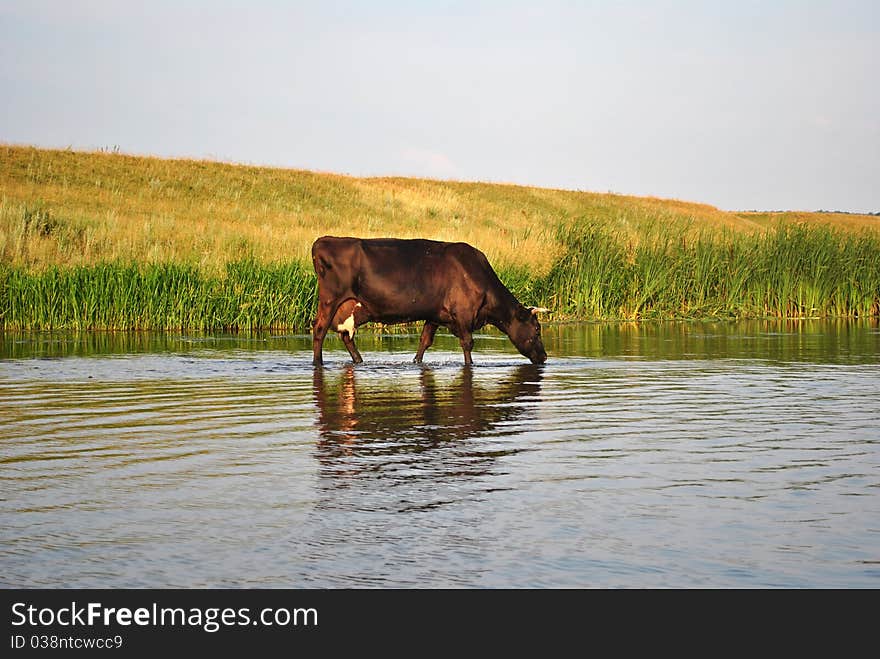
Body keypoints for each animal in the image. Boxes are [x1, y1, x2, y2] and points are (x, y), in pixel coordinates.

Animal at [308, 237, 544, 366]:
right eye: (537, 329)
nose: (544, 356)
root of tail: (323, 241)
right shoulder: (463, 314)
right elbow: (467, 343)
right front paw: (470, 365)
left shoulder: (435, 315)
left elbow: (424, 341)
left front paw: (416, 362)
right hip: (330, 299)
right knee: (319, 329)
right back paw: (318, 363)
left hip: (353, 308)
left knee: (346, 336)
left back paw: (358, 361)